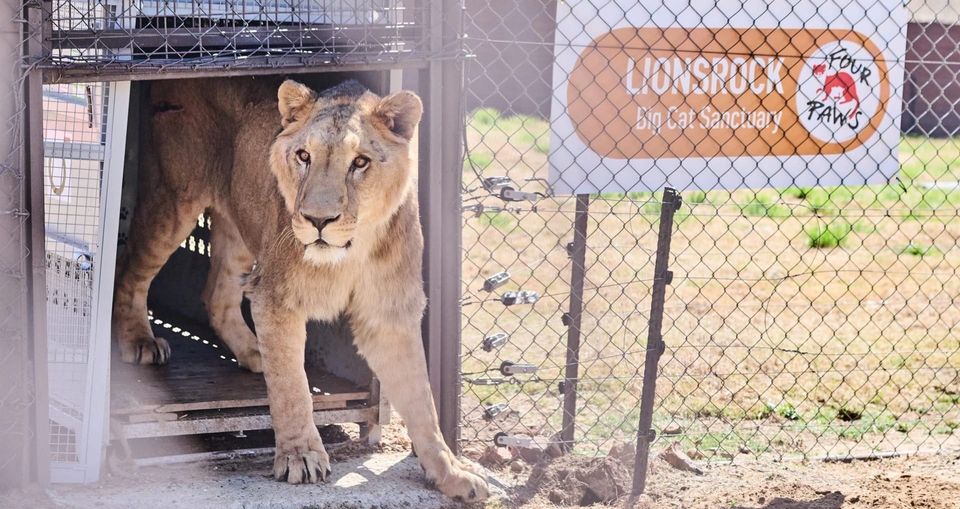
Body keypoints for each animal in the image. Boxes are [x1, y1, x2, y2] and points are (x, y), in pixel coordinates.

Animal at [111, 77, 489, 502]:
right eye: (304, 156)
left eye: (360, 162)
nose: (317, 220)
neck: (351, 252)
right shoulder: (277, 297)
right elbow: (293, 390)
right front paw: (301, 457)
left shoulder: (390, 314)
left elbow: (422, 401)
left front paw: (451, 472)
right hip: (175, 199)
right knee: (129, 268)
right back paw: (141, 341)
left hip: (245, 226)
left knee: (217, 295)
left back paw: (255, 350)